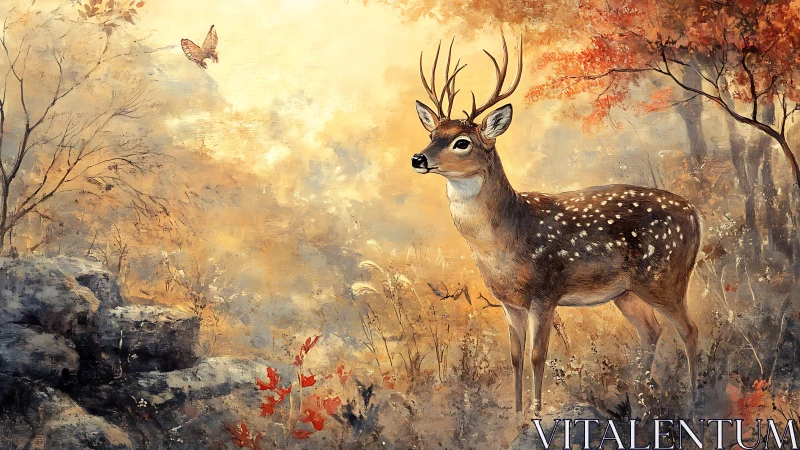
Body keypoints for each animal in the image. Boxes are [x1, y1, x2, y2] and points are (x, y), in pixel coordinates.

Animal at [411, 35, 701, 416]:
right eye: (432, 133)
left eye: (463, 142)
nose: (418, 158)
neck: (506, 240)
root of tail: (695, 214)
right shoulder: (509, 302)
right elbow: (516, 357)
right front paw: (517, 412)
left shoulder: (546, 291)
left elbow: (538, 356)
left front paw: (535, 411)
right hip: (625, 291)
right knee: (651, 331)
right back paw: (640, 394)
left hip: (665, 277)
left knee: (689, 330)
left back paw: (695, 396)